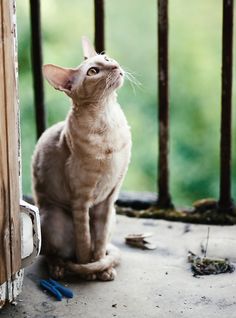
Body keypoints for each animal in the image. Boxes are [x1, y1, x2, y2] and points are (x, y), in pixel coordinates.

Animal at [30, 36, 131, 280]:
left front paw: (101, 267)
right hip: (54, 217)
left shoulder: (109, 200)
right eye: (93, 71)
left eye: (107, 58)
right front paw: (87, 271)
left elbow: (99, 242)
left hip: (113, 214)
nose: (114, 65)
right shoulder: (81, 199)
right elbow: (84, 243)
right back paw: (58, 268)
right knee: (51, 252)